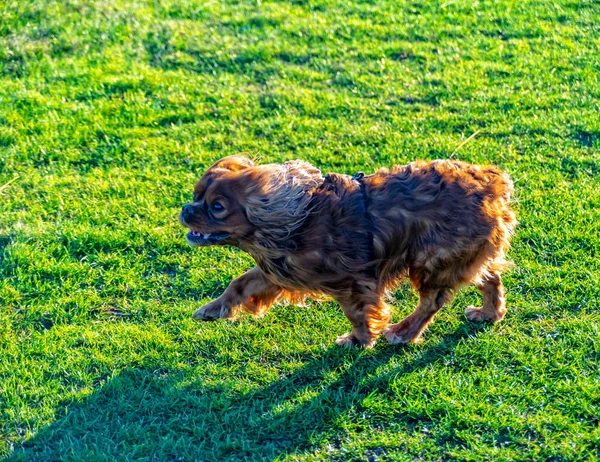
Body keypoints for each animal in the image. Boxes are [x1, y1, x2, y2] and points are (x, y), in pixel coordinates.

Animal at [178, 155, 516, 346]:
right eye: (196, 195)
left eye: (217, 207)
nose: (185, 209)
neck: (293, 220)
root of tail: (492, 182)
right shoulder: (278, 269)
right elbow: (239, 284)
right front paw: (211, 310)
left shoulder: (352, 282)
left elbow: (356, 313)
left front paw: (359, 340)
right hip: (462, 256)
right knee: (490, 278)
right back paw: (489, 313)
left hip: (431, 259)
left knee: (432, 302)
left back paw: (403, 333)